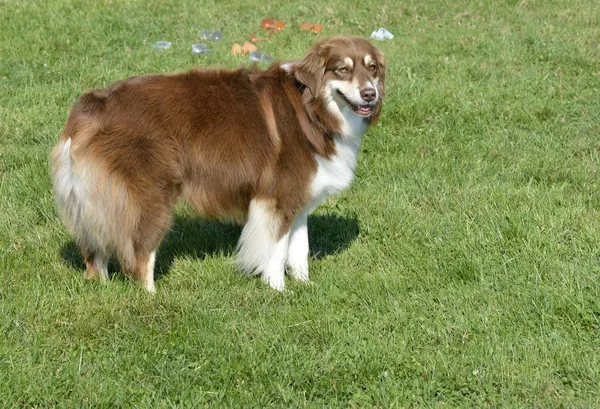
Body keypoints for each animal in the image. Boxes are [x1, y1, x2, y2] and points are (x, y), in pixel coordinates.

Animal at [52, 34, 390, 290]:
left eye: (372, 68)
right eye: (343, 70)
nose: (369, 94)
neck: (313, 110)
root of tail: (89, 107)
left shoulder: (300, 199)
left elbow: (299, 249)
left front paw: (305, 286)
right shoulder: (276, 198)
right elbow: (276, 249)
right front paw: (277, 289)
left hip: (99, 200)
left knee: (95, 251)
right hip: (149, 196)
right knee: (140, 256)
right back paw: (152, 298)